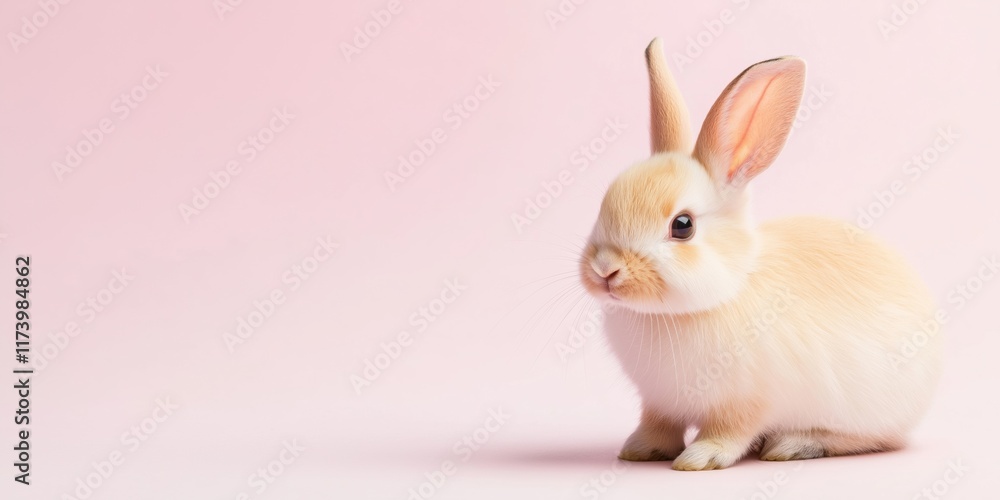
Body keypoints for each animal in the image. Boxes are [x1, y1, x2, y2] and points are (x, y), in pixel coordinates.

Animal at [578, 38, 942, 471]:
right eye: (603, 205)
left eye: (682, 225)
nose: (605, 269)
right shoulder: (658, 403)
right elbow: (658, 426)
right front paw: (638, 450)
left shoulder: (746, 402)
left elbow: (730, 430)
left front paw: (699, 457)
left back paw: (793, 445)